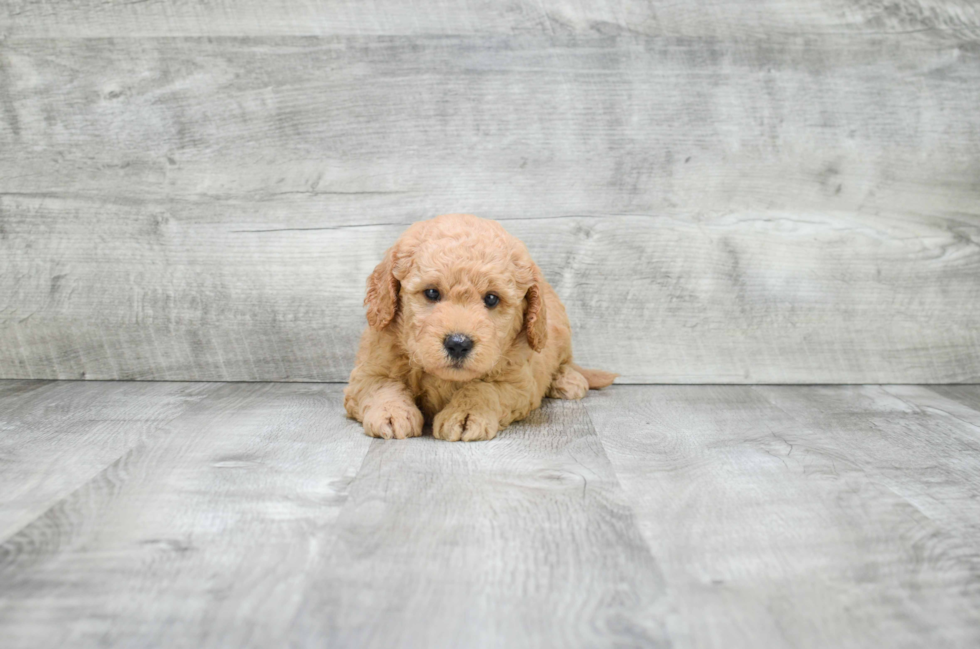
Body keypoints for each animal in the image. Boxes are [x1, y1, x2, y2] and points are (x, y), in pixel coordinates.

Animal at [344, 213, 616, 440]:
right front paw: (391, 413)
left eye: (492, 299)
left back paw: (568, 380)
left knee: (565, 361)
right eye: (431, 292)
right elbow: (382, 385)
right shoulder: (368, 370)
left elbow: (483, 389)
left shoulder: (518, 382)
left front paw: (466, 415)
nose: (458, 344)